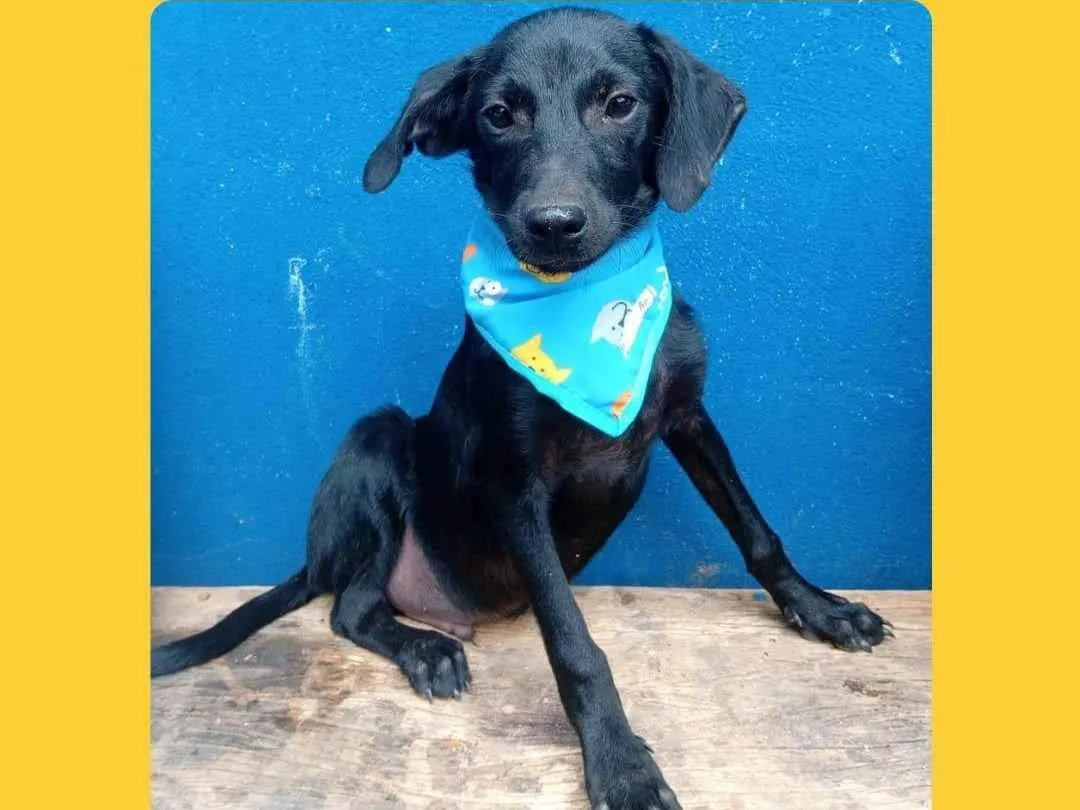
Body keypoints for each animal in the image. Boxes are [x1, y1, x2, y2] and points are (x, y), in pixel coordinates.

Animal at [152, 8, 892, 808]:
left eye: (620, 104)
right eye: (498, 116)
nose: (553, 224)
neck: (584, 306)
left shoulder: (691, 417)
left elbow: (756, 530)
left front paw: (819, 608)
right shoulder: (515, 485)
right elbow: (574, 643)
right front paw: (620, 761)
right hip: (376, 441)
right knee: (350, 606)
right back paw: (426, 650)